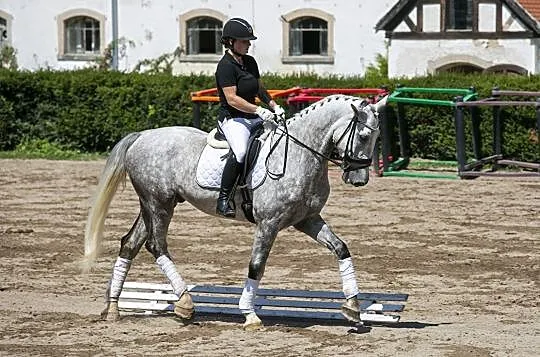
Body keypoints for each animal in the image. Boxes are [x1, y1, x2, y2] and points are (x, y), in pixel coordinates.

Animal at [84, 93, 386, 330]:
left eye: (377, 137)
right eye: (363, 136)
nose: (359, 180)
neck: (300, 155)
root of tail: (142, 136)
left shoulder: (307, 220)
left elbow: (341, 248)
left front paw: (353, 307)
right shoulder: (269, 223)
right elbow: (256, 265)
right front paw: (250, 314)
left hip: (154, 204)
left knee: (130, 243)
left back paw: (113, 308)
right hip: (158, 204)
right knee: (155, 245)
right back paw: (184, 302)